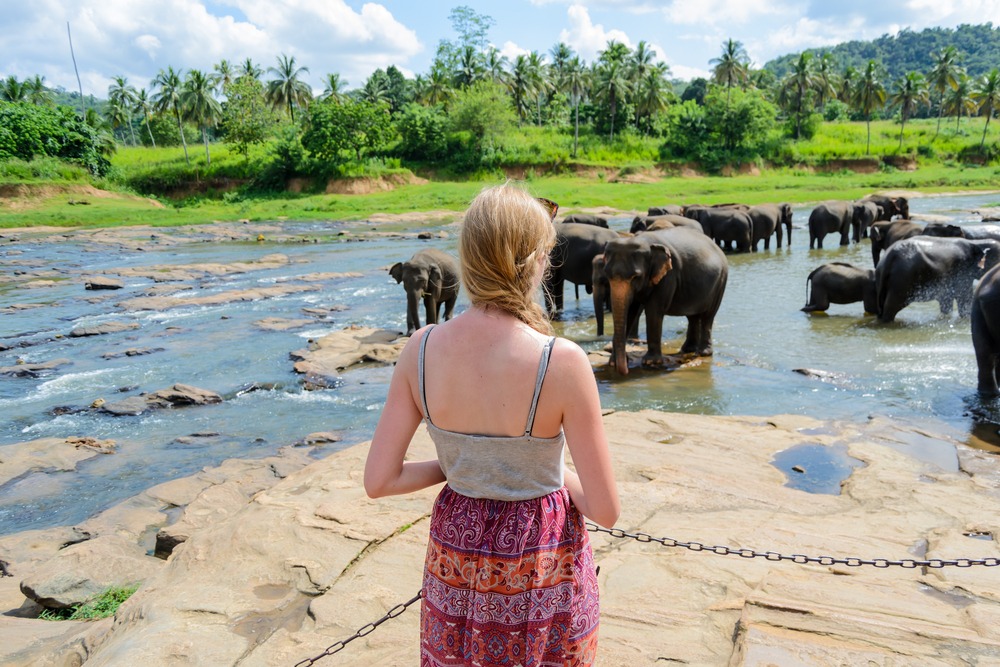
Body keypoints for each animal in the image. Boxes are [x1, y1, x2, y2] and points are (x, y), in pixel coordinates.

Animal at [600, 227, 729, 375]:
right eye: (607, 274)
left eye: (636, 276)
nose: (625, 370)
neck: (643, 240)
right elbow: (630, 311)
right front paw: (612, 362)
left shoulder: (668, 276)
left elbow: (653, 311)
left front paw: (650, 362)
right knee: (693, 316)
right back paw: (687, 349)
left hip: (721, 281)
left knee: (708, 316)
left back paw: (703, 353)